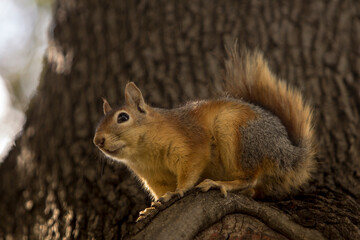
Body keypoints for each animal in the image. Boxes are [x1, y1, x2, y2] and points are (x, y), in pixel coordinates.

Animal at [92, 48, 316, 202]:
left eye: (123, 117)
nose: (97, 141)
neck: (142, 152)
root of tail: (286, 150)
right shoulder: (154, 178)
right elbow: (161, 191)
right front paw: (153, 206)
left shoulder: (190, 143)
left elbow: (190, 167)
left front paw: (179, 190)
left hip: (238, 135)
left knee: (249, 178)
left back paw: (218, 183)